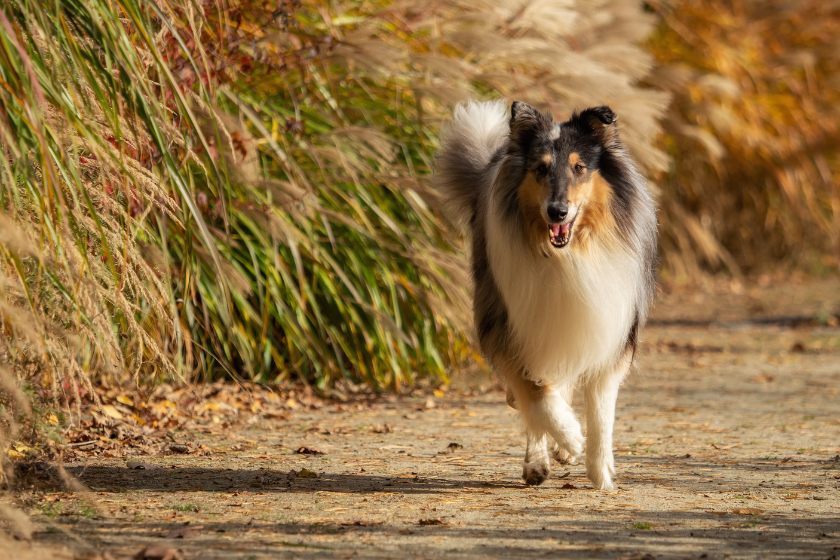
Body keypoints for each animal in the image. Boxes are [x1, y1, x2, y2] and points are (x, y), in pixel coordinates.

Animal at [436, 99, 660, 490]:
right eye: (540, 169)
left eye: (579, 168)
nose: (557, 211)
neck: (566, 257)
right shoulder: (512, 326)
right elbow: (538, 396)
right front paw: (569, 437)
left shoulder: (610, 332)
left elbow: (600, 412)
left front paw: (600, 473)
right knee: (534, 397)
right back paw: (540, 460)